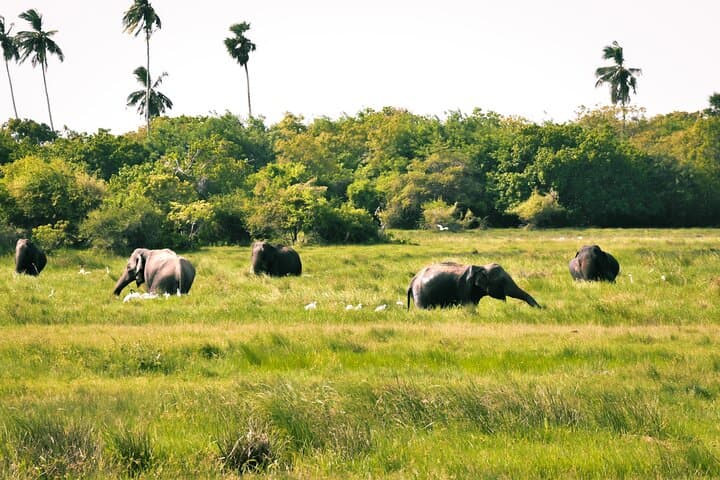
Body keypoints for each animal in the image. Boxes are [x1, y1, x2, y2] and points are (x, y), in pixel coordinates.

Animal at [407, 261, 541, 309]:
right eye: (502, 281)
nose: (543, 308)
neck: (481, 267)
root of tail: (412, 280)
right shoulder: (464, 286)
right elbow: (468, 306)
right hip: (420, 294)